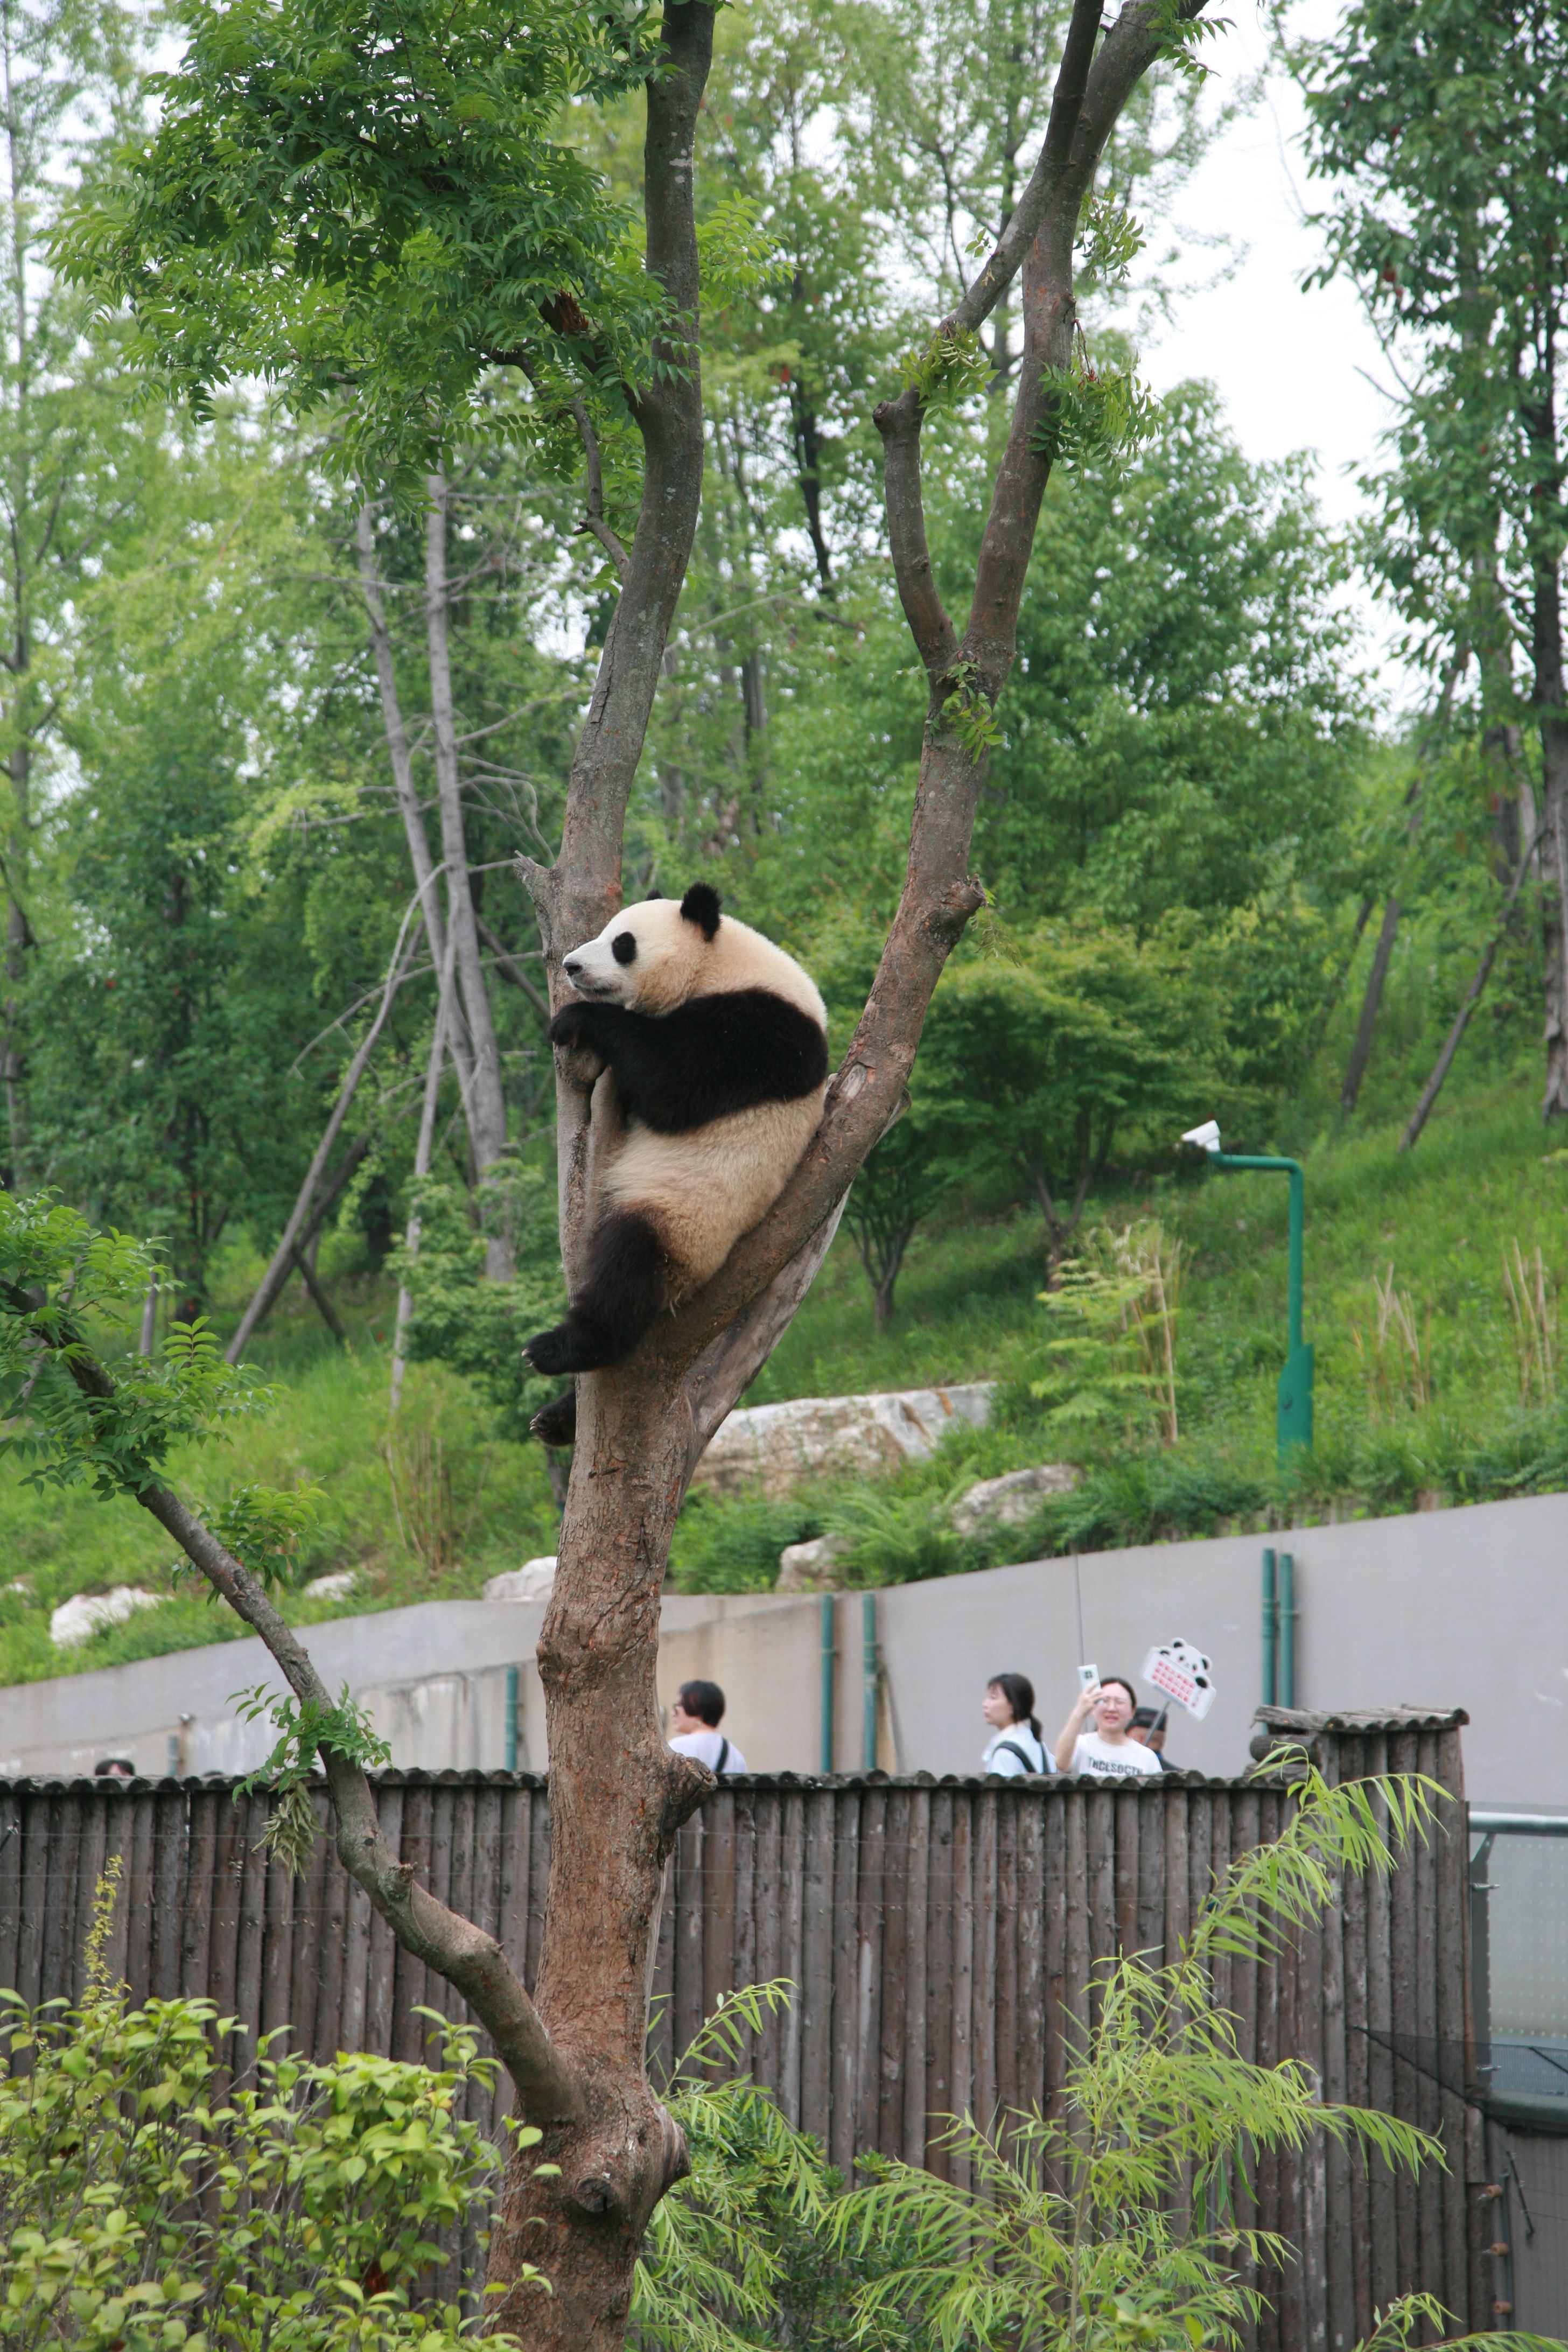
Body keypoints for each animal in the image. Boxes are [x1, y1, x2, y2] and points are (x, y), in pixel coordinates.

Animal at [523, 883, 828, 1406]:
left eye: (622, 944)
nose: (571, 966)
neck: (717, 964)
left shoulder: (762, 1029)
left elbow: (672, 1084)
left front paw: (574, 1020)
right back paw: (558, 1416)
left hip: (686, 1219)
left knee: (630, 1263)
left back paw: (561, 1347)